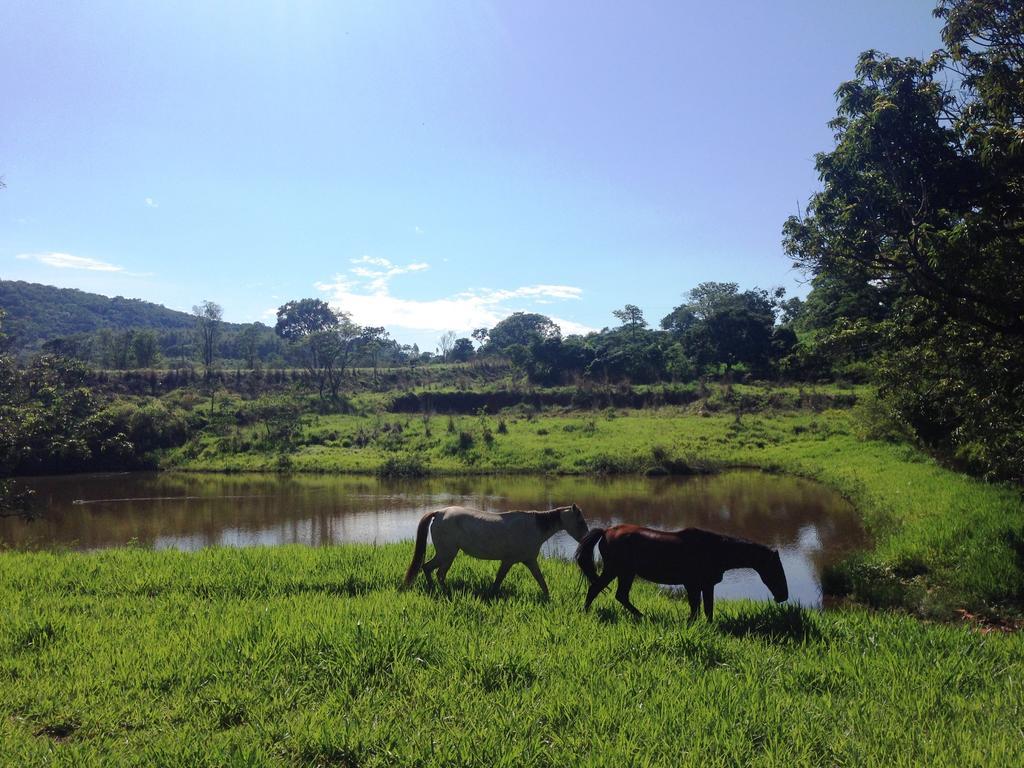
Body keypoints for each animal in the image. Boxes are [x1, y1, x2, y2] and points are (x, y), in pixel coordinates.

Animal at [403, 505, 589, 602]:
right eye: (580, 521)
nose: (587, 538)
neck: (534, 527)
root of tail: (440, 512)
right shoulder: (511, 561)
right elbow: (499, 580)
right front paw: (490, 595)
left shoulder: (529, 561)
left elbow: (541, 580)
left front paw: (548, 597)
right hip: (447, 553)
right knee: (437, 572)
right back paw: (444, 592)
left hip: (446, 553)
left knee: (428, 568)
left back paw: (434, 589)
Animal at [577, 528, 782, 622]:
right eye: (776, 569)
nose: (783, 596)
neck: (716, 550)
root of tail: (606, 531)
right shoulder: (693, 584)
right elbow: (697, 607)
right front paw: (692, 623)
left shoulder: (705, 585)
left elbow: (706, 608)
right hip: (617, 570)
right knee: (596, 589)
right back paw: (585, 612)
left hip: (625, 572)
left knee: (620, 595)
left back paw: (642, 616)